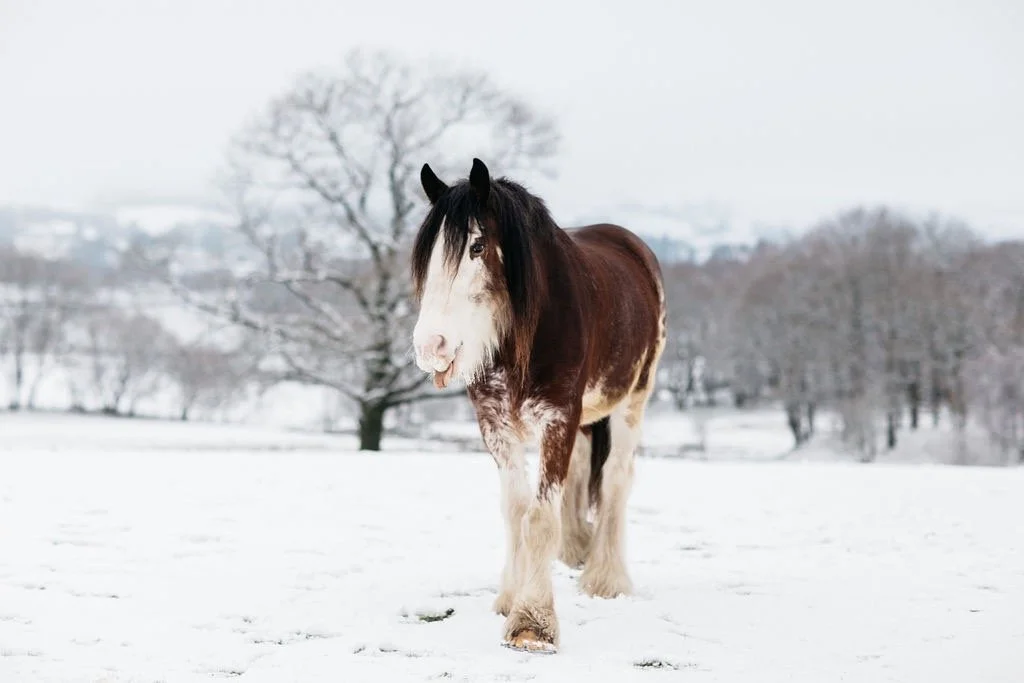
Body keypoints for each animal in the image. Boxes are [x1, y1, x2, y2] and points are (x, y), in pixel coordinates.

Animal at [410, 158, 667, 653]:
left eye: (476, 246)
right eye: (426, 256)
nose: (431, 346)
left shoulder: (557, 419)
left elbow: (540, 516)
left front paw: (533, 623)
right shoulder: (495, 424)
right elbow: (515, 509)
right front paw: (511, 597)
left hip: (633, 401)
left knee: (615, 481)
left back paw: (606, 578)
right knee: (584, 470)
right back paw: (577, 548)